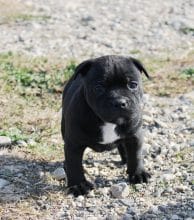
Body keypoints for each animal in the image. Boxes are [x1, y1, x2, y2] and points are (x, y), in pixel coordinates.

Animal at [61, 55, 151, 196]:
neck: (108, 122)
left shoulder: (134, 136)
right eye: (99, 88)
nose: (119, 102)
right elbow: (74, 164)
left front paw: (138, 173)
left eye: (133, 85)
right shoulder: (74, 144)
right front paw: (78, 185)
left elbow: (136, 155)